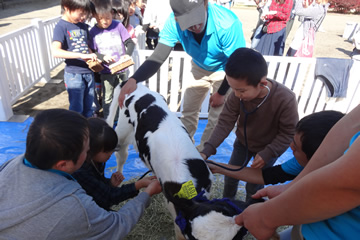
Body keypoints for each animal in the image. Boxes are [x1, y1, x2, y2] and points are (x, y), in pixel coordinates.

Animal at [106, 83, 245, 240]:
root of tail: (136, 85)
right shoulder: (173, 204)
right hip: (122, 134)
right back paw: (118, 177)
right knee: (121, 157)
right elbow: (179, 230)